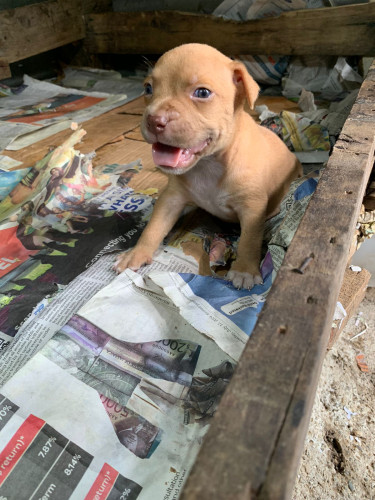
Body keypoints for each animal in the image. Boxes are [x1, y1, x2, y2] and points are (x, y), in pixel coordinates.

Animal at [114, 44, 302, 290]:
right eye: (148, 88)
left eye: (202, 93)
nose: (154, 120)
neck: (208, 164)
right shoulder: (171, 197)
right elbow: (154, 226)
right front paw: (136, 253)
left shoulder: (252, 207)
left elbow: (249, 239)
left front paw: (245, 270)